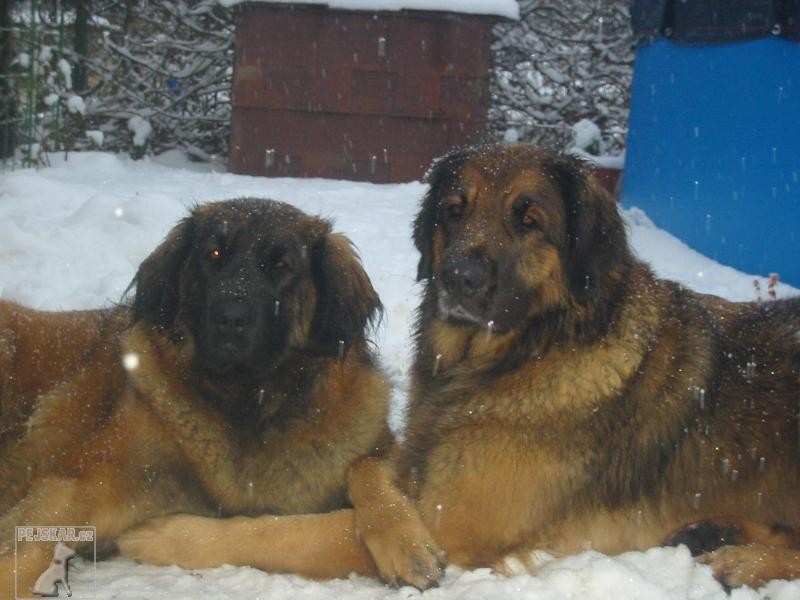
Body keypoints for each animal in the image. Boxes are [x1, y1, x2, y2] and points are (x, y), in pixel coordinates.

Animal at [0, 197, 388, 596]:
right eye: (214, 254)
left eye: (282, 264)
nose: (230, 317)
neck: (244, 402)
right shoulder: (75, 486)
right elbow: (25, 552)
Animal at [117, 146, 800, 592]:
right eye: (453, 210)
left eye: (530, 220)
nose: (457, 279)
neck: (515, 357)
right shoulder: (420, 463)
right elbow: (367, 467)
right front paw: (397, 532)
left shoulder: (458, 523)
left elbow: (284, 532)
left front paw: (165, 536)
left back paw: (742, 561)